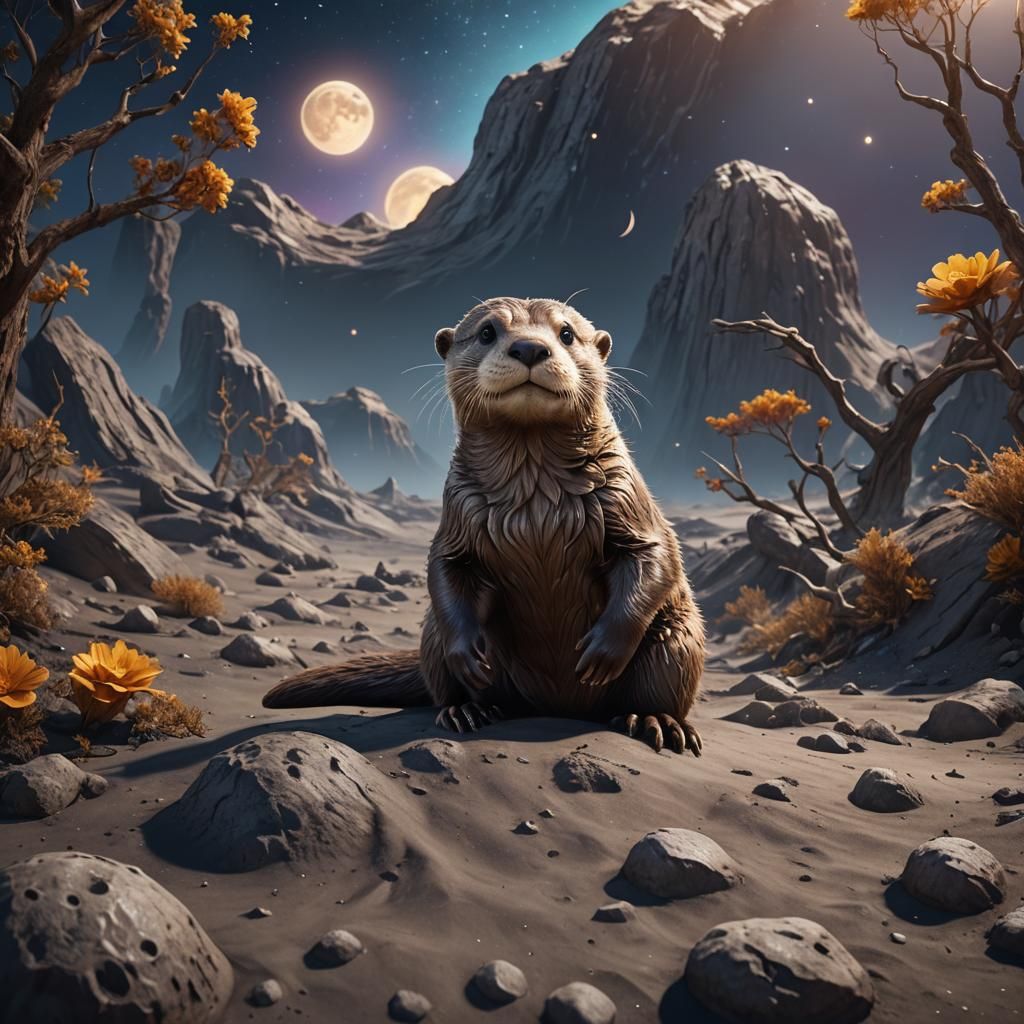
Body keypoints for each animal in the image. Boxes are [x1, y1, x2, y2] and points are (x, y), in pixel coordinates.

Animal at [262, 297, 705, 754]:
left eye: (566, 333)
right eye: (488, 332)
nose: (529, 348)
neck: (535, 505)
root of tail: (557, 707)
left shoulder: (627, 499)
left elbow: (655, 557)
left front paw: (603, 650)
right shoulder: (456, 513)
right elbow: (445, 567)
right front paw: (467, 656)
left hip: (678, 638)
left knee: (662, 676)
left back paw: (655, 721)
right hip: (432, 636)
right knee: (446, 672)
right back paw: (467, 710)